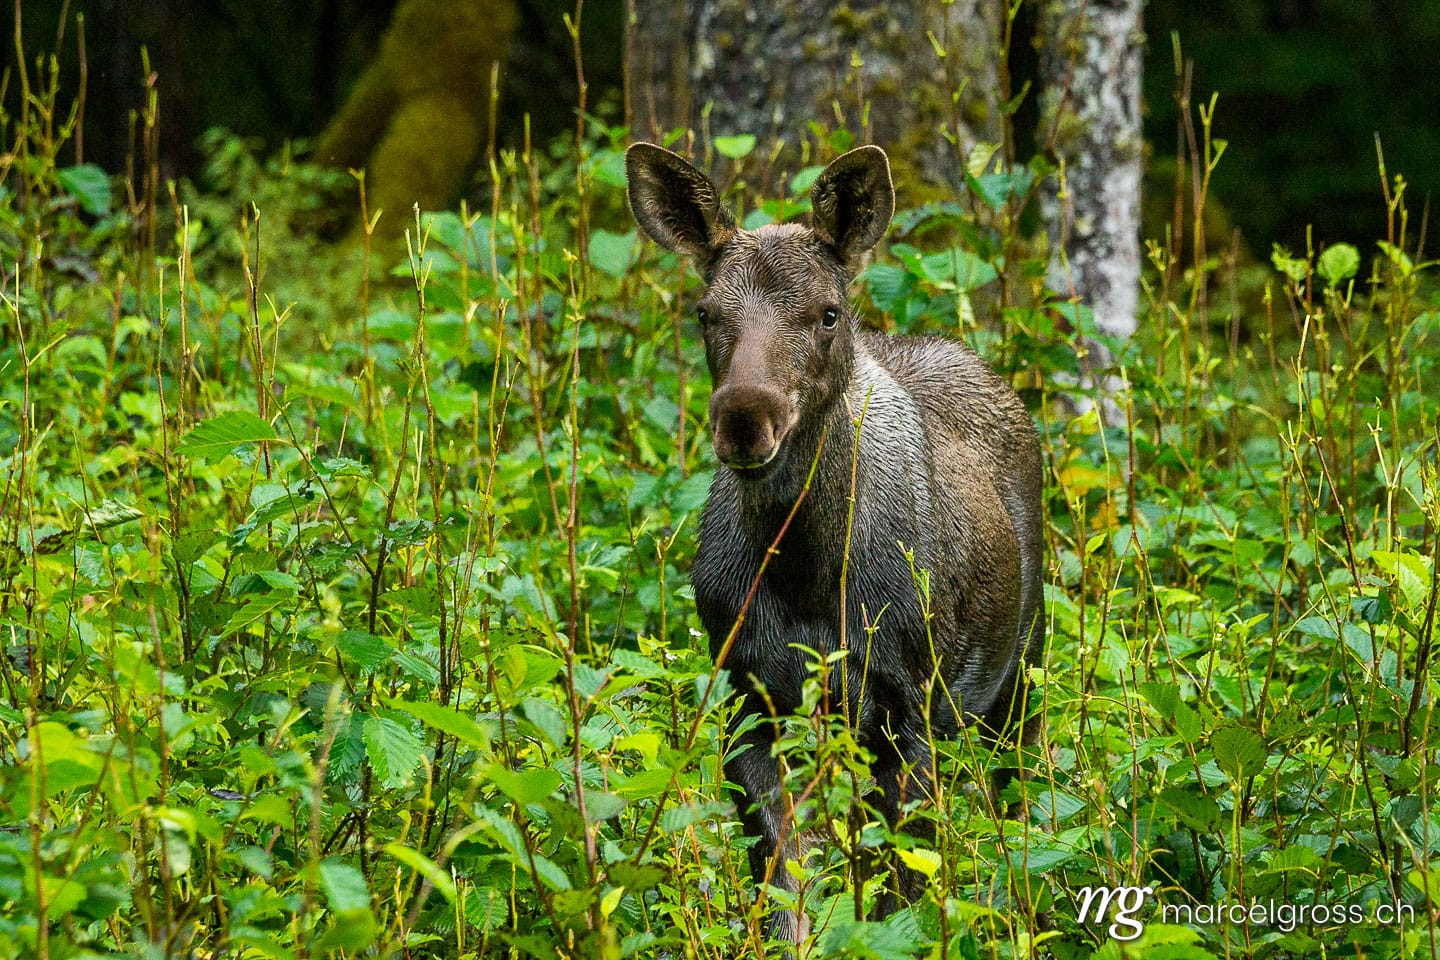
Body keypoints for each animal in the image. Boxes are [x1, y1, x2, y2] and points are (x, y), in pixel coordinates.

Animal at [626, 141, 1045, 947]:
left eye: (826, 312)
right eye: (705, 312)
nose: (745, 418)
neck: (807, 577)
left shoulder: (908, 709)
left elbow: (893, 891)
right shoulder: (749, 705)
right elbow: (784, 888)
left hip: (1022, 673)